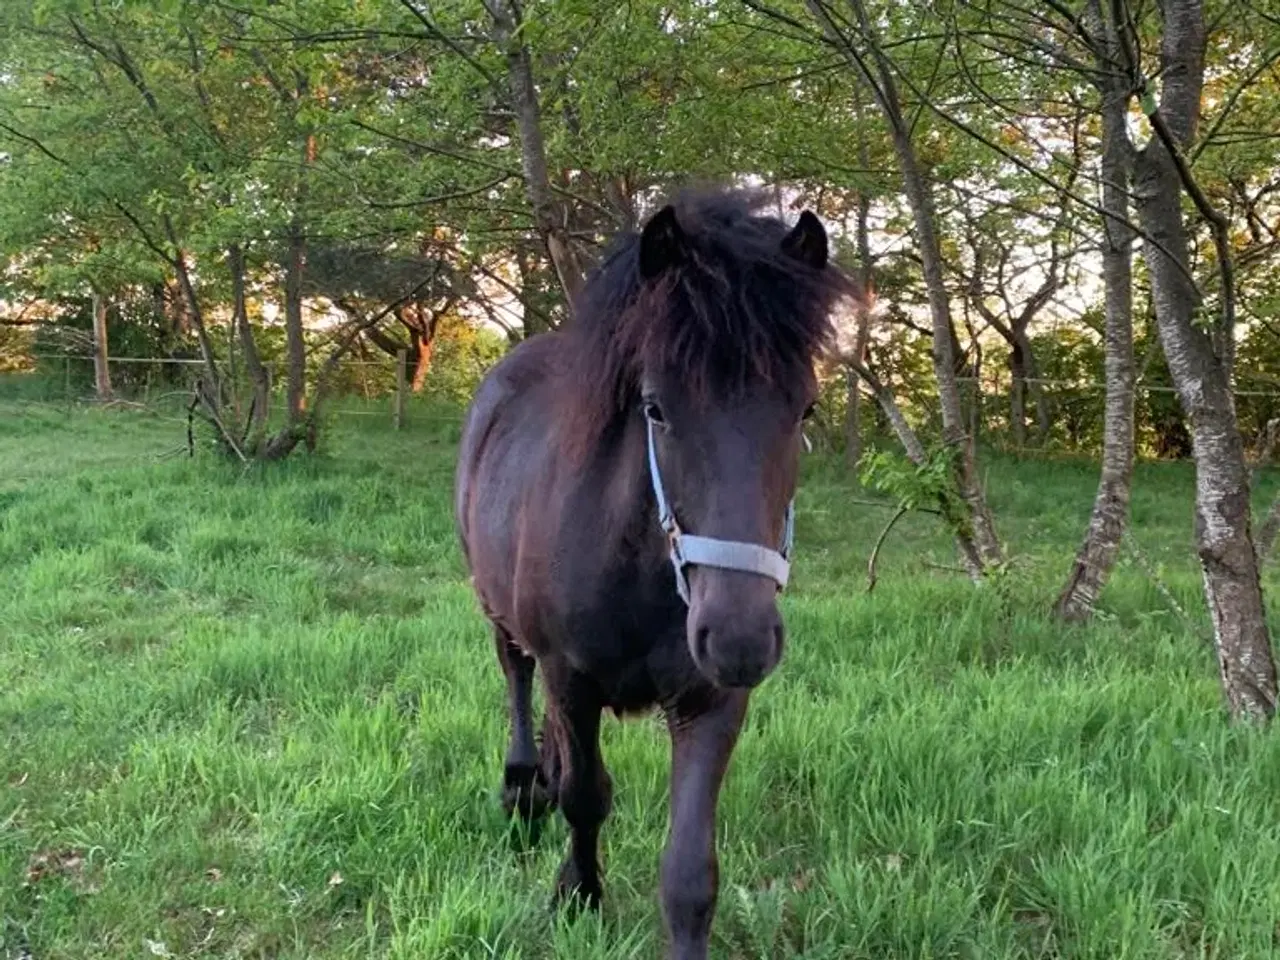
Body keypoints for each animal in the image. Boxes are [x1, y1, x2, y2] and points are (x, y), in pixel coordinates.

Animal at [455, 188, 855, 960]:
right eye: (655, 408)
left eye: (806, 408)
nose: (739, 639)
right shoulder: (572, 678)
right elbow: (586, 796)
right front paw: (578, 892)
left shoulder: (711, 699)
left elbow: (690, 873)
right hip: (496, 609)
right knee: (516, 673)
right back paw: (523, 786)